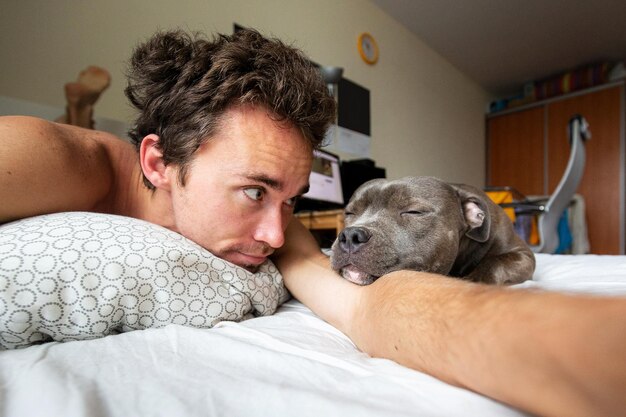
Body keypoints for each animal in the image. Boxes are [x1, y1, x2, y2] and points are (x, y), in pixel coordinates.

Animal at [330, 176, 532, 286]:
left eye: (414, 212)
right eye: (350, 212)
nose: (350, 235)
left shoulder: (524, 255)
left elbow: (495, 262)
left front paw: (474, 281)